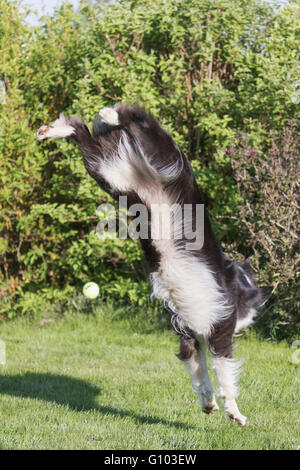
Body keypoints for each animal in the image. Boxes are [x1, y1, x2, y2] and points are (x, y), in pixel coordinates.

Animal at [37, 103, 262, 426]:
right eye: (252, 306)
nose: (251, 321)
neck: (238, 285)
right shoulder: (220, 330)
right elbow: (225, 378)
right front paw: (235, 414)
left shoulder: (189, 336)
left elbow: (201, 378)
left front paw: (208, 406)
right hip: (162, 154)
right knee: (138, 118)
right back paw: (110, 113)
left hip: (107, 172)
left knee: (81, 132)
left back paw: (53, 130)